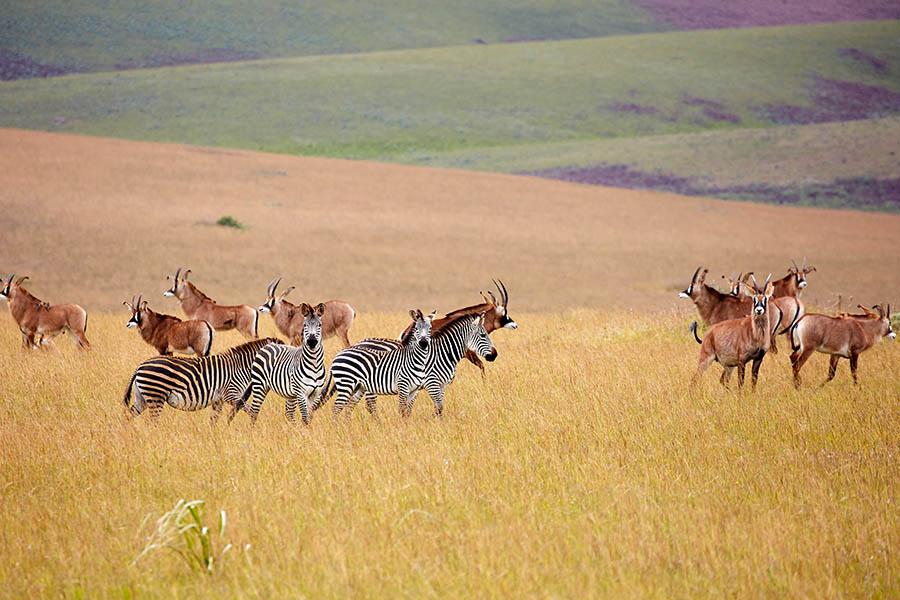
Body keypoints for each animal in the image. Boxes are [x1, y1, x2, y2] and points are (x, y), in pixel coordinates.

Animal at [122, 337, 280, 423]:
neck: (241, 367)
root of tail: (139, 367)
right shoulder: (230, 394)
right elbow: (249, 410)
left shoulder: (218, 399)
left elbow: (213, 420)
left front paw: (214, 437)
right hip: (155, 396)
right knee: (151, 422)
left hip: (142, 398)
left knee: (129, 416)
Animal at [353, 313, 497, 416]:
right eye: (483, 335)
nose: (495, 355)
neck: (441, 353)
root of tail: (359, 343)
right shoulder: (431, 382)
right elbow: (438, 407)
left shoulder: (440, 385)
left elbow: (436, 407)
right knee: (370, 405)